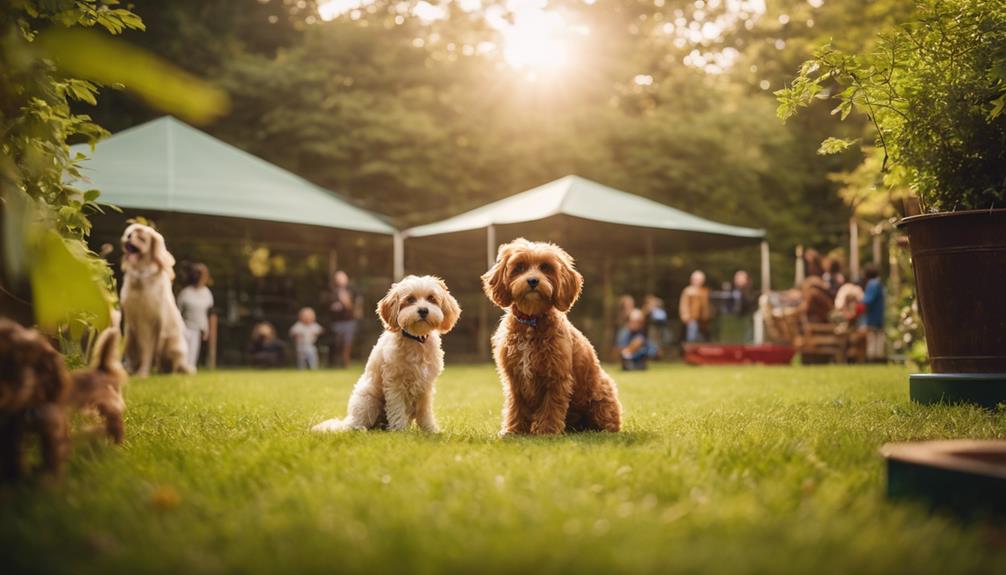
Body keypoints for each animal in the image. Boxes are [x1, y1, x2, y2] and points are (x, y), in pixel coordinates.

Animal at [118, 221, 189, 377]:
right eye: (129, 233)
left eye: (141, 238)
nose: (128, 237)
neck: (139, 278)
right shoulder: (130, 323)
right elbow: (131, 351)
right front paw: (130, 370)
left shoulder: (150, 322)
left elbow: (147, 350)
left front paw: (142, 374)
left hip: (173, 343)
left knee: (175, 364)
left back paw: (172, 374)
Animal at [311, 275, 460, 430]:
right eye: (410, 299)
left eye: (431, 298)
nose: (423, 310)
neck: (416, 340)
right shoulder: (394, 383)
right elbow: (397, 408)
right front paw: (400, 430)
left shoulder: (426, 385)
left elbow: (424, 411)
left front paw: (430, 430)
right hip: (368, 400)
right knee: (356, 424)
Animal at [480, 238, 619, 436]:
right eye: (520, 267)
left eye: (546, 267)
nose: (533, 280)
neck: (531, 321)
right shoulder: (514, 378)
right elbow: (516, 405)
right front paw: (513, 430)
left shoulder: (556, 376)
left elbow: (551, 406)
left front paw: (547, 431)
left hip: (601, 393)